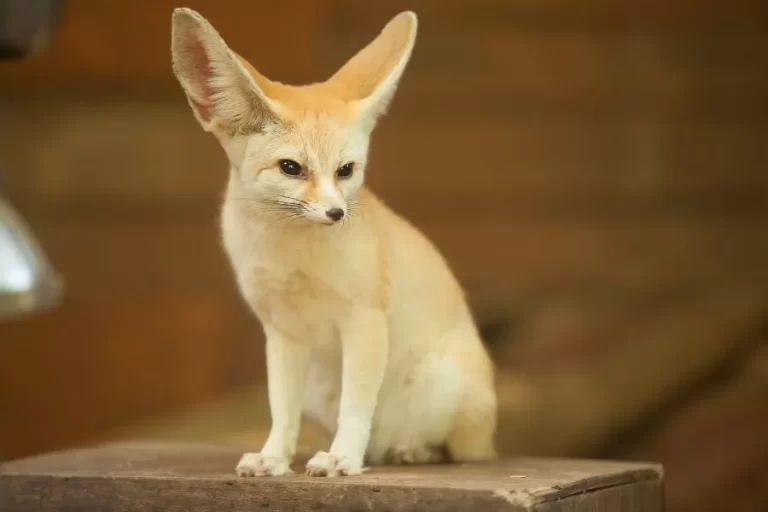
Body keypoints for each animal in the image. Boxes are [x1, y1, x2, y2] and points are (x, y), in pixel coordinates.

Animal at [170, 8, 496, 478]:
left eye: (346, 170)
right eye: (291, 168)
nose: (336, 213)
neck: (290, 255)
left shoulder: (364, 319)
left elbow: (356, 406)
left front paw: (342, 457)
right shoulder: (283, 332)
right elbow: (281, 409)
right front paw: (274, 457)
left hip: (443, 384)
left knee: (450, 448)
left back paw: (411, 451)